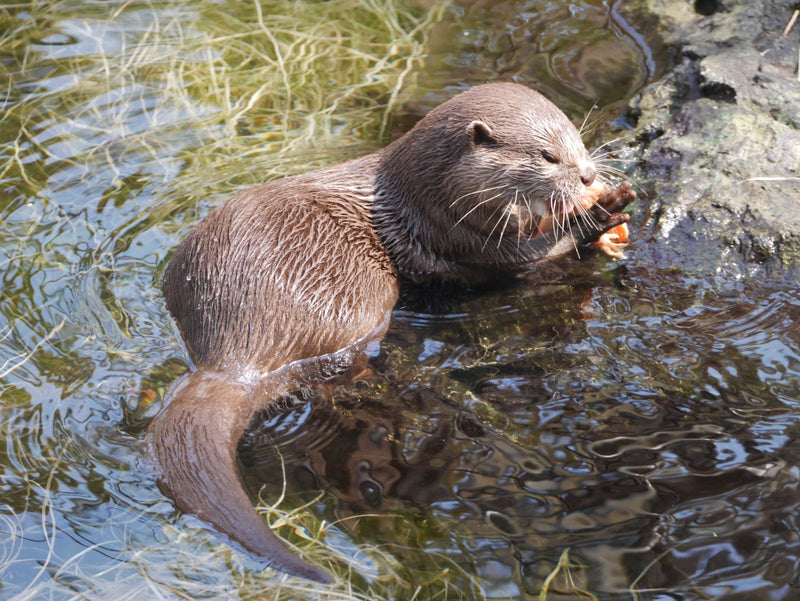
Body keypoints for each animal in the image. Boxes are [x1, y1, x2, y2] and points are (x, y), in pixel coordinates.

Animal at [149, 82, 635, 583]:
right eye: (548, 156)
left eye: (577, 139)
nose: (588, 175)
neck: (425, 193)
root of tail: (230, 352)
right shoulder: (454, 233)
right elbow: (527, 258)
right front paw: (599, 216)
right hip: (354, 298)